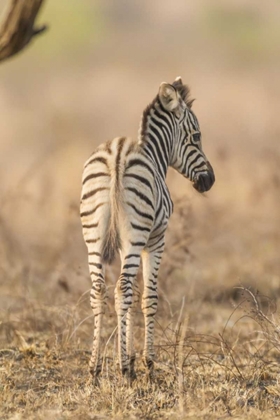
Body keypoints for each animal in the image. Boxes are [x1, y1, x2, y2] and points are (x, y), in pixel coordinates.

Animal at [80, 77, 215, 382]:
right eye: (197, 136)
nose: (210, 181)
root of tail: (117, 153)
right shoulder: (155, 239)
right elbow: (148, 297)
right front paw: (145, 362)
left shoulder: (122, 244)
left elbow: (132, 297)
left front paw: (129, 357)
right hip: (136, 234)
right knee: (121, 289)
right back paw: (122, 370)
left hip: (94, 235)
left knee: (100, 290)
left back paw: (94, 369)